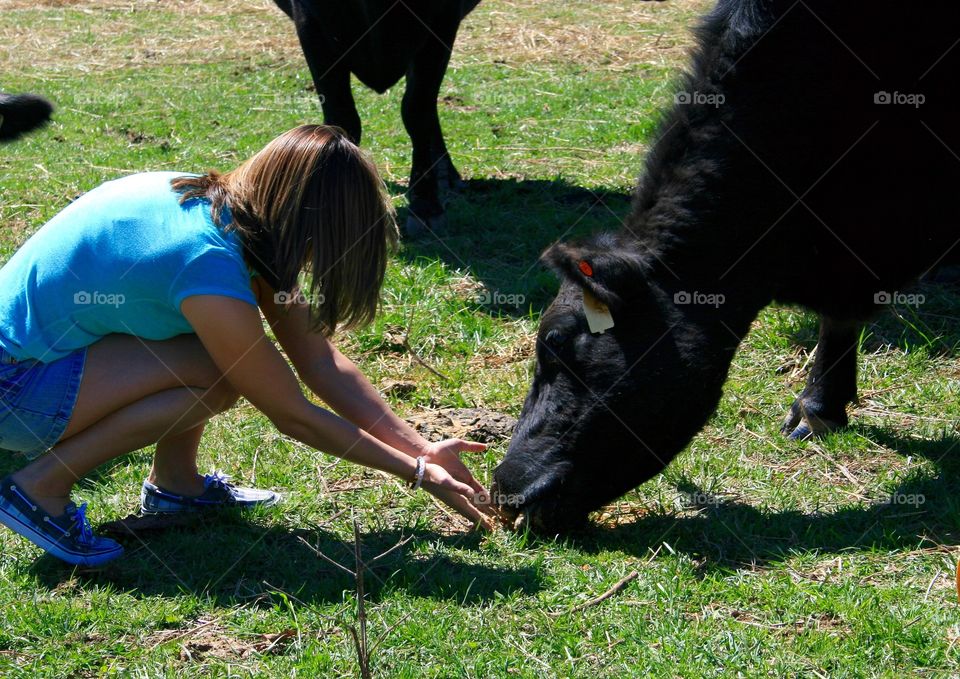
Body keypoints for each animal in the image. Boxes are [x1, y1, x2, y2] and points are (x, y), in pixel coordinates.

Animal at [270, 0, 480, 235]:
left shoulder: (443, 20)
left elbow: (417, 111)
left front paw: (426, 206)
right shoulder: (310, 23)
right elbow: (341, 116)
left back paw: (444, 175)